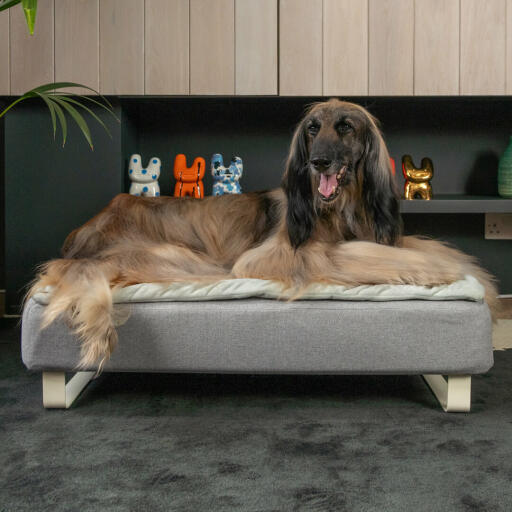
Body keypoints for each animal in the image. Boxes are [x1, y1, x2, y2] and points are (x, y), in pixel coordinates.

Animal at [27, 98, 496, 370]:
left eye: (345, 126)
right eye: (312, 129)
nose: (318, 163)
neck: (339, 209)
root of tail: (80, 236)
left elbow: (418, 245)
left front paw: (471, 274)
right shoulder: (271, 255)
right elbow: (362, 255)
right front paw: (436, 272)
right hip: (187, 260)